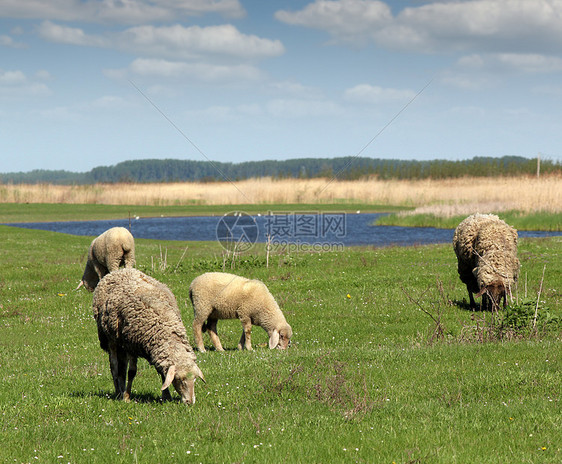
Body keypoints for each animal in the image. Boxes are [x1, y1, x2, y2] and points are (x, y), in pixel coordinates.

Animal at [93, 266, 205, 404]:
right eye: (180, 380)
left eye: (194, 379)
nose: (190, 402)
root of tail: (119, 271)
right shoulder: (131, 345)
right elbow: (132, 372)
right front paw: (127, 397)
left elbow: (162, 373)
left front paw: (166, 396)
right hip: (111, 339)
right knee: (114, 367)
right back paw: (119, 392)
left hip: (121, 345)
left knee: (122, 369)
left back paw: (121, 389)